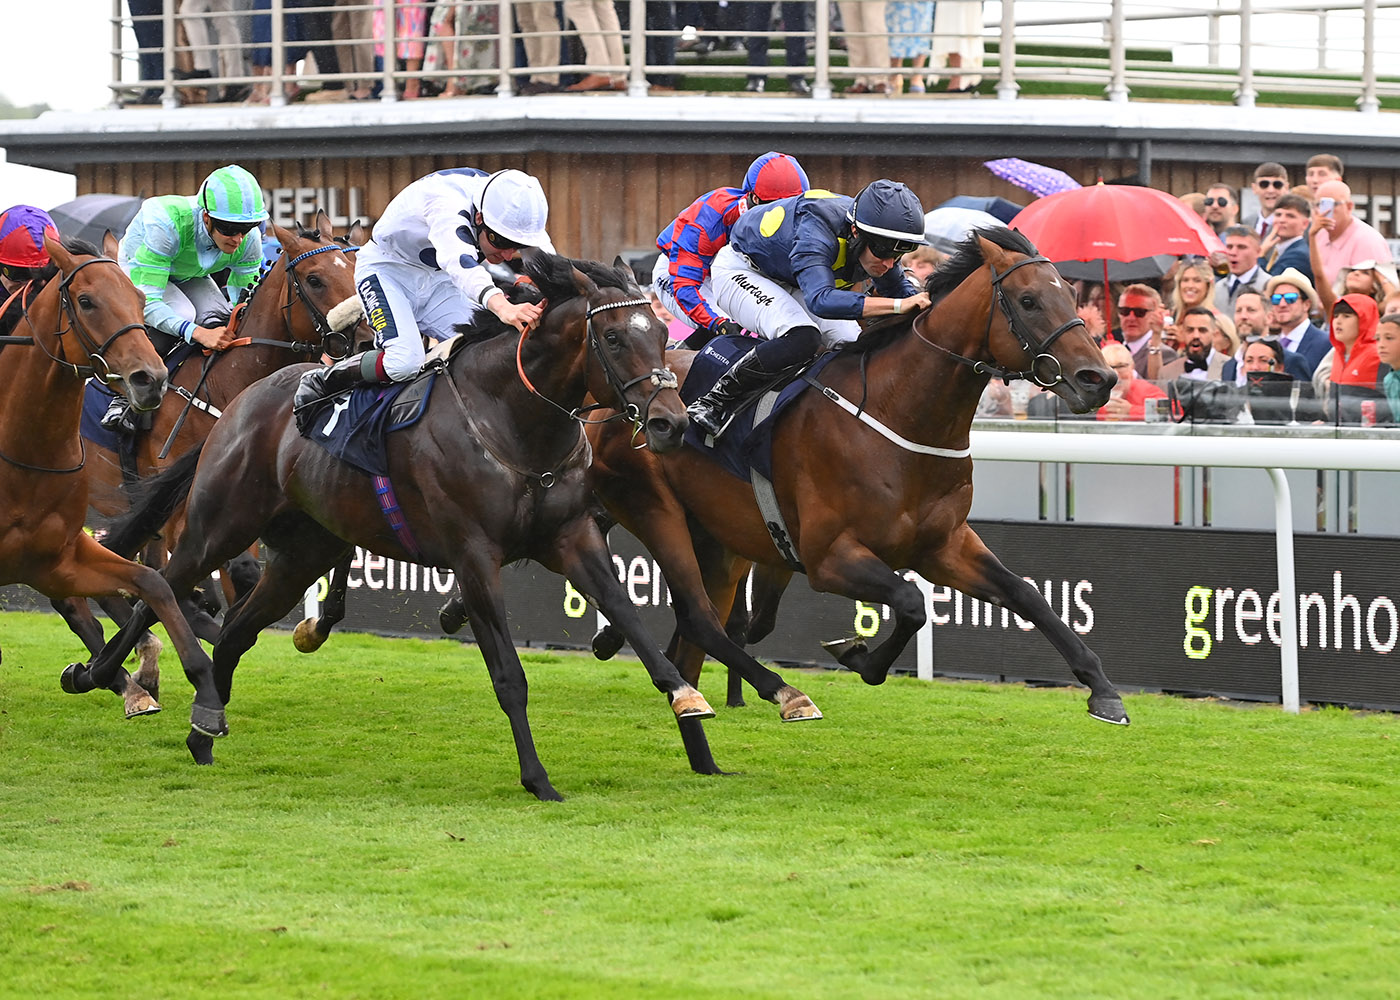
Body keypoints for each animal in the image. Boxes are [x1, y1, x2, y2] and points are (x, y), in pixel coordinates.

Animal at [0, 237, 219, 721]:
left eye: (140, 299)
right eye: (86, 301)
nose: (150, 379)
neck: (24, 452)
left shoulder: (56, 559)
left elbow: (152, 583)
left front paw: (200, 680)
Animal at [51, 214, 369, 699]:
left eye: (354, 269)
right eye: (314, 280)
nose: (369, 338)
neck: (229, 385)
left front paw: (309, 626)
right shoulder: (191, 504)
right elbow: (233, 578)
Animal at [72, 251, 723, 800]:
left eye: (661, 334)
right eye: (612, 337)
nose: (670, 423)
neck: (509, 418)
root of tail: (241, 402)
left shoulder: (572, 538)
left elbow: (633, 621)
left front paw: (687, 698)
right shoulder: (474, 557)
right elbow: (509, 676)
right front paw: (538, 779)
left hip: (304, 552)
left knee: (233, 633)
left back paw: (204, 729)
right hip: (220, 524)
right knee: (159, 588)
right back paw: (103, 677)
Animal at [583, 229, 1131, 727]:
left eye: (1071, 294)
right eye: (1029, 300)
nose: (1098, 379)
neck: (900, 417)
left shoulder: (944, 546)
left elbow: (1026, 594)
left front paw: (1103, 691)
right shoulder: (830, 557)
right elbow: (911, 603)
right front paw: (858, 655)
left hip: (717, 539)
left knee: (709, 618)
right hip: (654, 508)